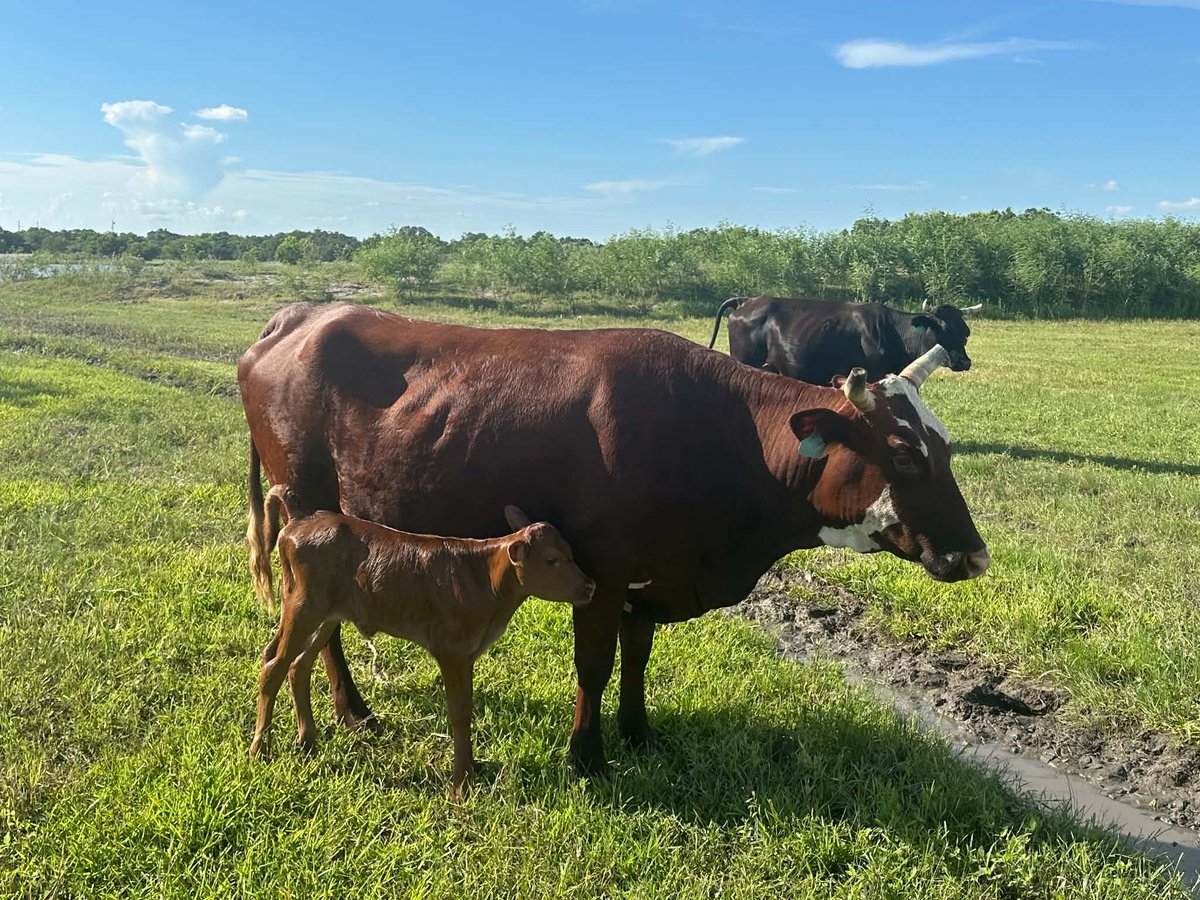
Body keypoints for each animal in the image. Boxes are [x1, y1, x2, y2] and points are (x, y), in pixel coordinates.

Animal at [249, 492, 595, 794]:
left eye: (570, 552)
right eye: (551, 560)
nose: (590, 586)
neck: (485, 580)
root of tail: (301, 519)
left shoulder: (467, 654)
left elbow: (467, 708)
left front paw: (471, 770)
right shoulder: (450, 650)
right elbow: (458, 712)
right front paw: (461, 783)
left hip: (328, 615)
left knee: (298, 665)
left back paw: (308, 741)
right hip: (304, 608)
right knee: (273, 665)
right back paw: (261, 748)